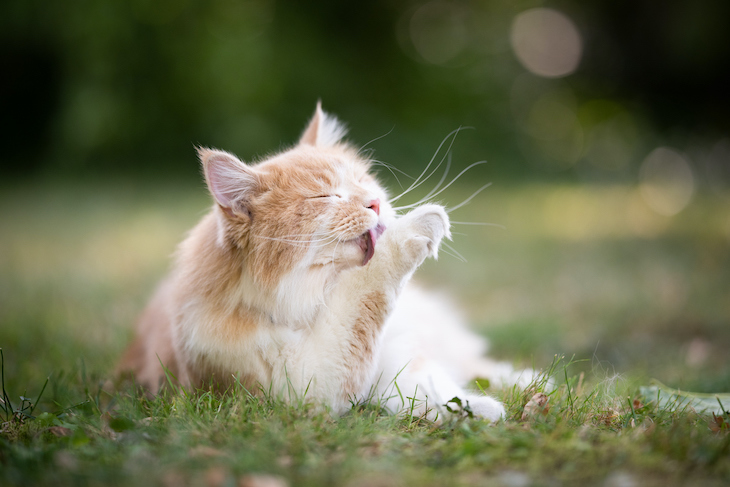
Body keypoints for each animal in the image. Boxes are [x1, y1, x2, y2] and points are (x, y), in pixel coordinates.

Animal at [118, 104, 528, 424]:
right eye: (325, 197)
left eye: (362, 181)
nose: (375, 203)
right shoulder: (309, 384)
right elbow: (368, 286)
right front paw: (420, 226)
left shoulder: (393, 354)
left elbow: (433, 384)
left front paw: (481, 409)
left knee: (477, 362)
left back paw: (528, 382)